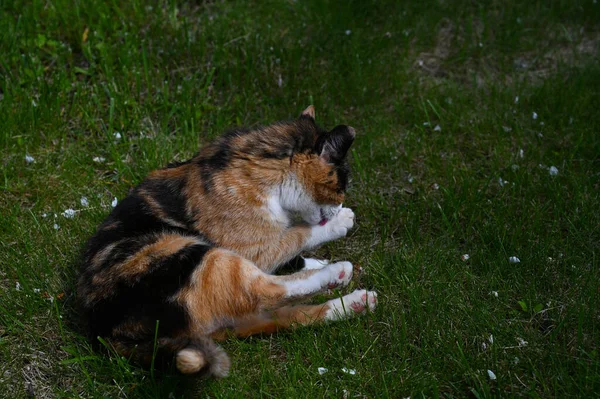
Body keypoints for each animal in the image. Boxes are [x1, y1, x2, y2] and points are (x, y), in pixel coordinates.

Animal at [77, 106, 378, 378]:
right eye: (341, 186)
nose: (339, 206)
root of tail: (110, 335)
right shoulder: (255, 250)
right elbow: (296, 234)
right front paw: (340, 223)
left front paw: (317, 259)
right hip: (196, 255)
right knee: (267, 292)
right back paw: (336, 273)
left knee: (284, 316)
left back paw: (355, 302)